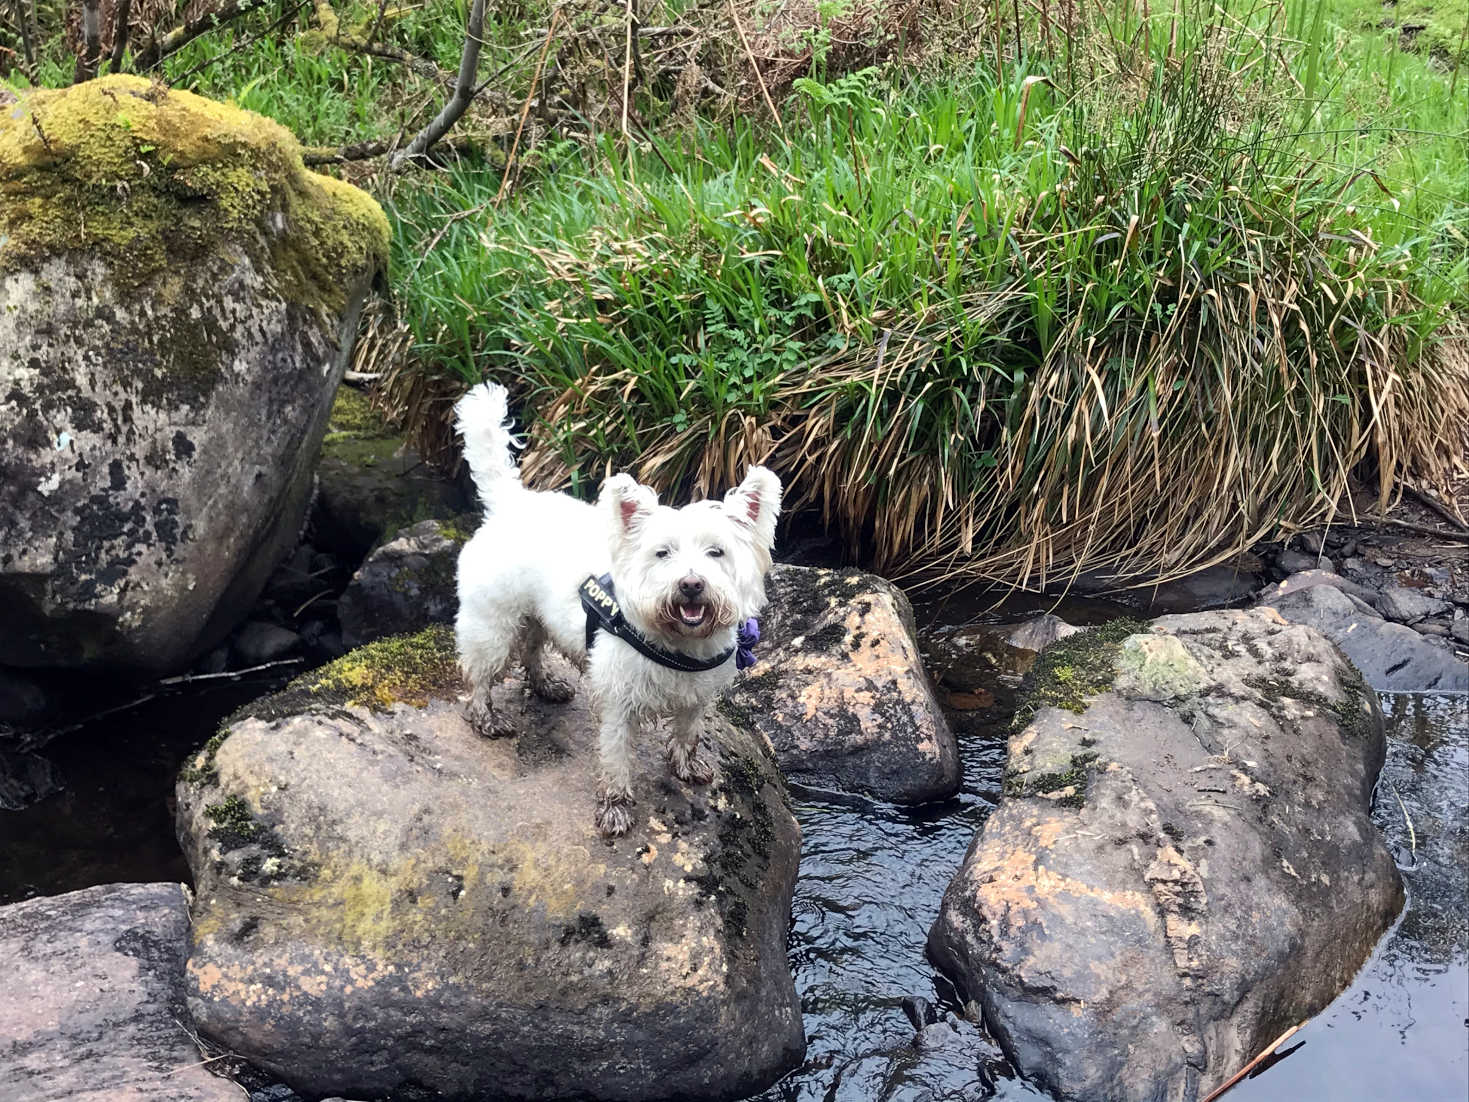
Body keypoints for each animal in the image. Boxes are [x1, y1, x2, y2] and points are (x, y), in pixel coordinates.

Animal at [455, 384, 781, 840]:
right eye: (662, 553)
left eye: (717, 552)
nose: (691, 585)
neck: (677, 643)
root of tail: (512, 502)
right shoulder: (618, 705)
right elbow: (616, 761)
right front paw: (615, 810)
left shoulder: (697, 697)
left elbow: (688, 732)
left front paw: (687, 766)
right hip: (494, 623)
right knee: (482, 674)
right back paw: (486, 717)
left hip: (536, 613)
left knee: (533, 647)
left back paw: (547, 685)